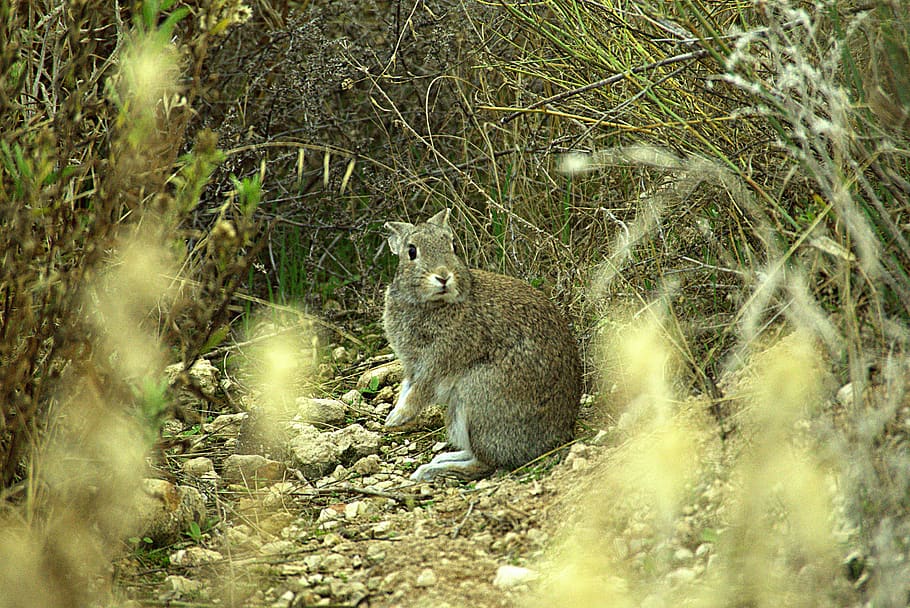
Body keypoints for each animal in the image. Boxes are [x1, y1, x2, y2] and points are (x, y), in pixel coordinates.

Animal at [382, 208, 582, 481]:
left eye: (453, 246)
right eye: (411, 251)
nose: (443, 276)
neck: (434, 304)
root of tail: (558, 435)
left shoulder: (438, 362)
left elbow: (419, 392)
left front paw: (395, 419)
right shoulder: (412, 366)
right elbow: (407, 388)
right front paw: (393, 417)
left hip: (476, 400)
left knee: (483, 463)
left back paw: (430, 470)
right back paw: (436, 462)